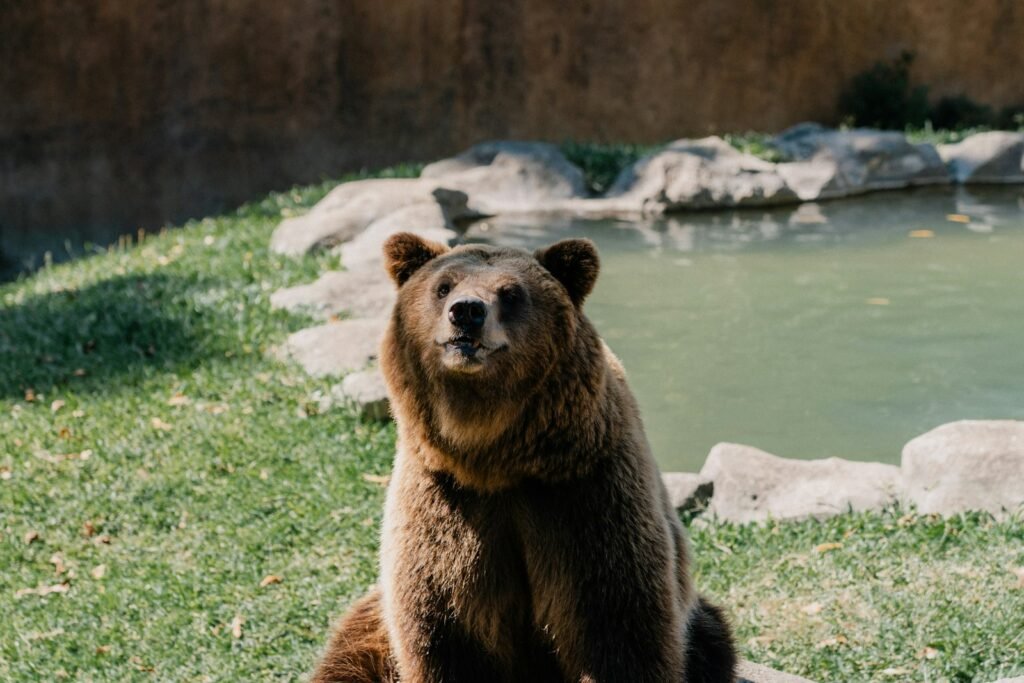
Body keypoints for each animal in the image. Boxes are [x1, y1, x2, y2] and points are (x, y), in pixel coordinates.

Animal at [311, 232, 736, 682]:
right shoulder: (444, 507)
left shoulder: (585, 495)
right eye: (443, 286)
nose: (466, 312)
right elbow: (445, 628)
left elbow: (617, 628)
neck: (494, 456)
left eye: (511, 293)